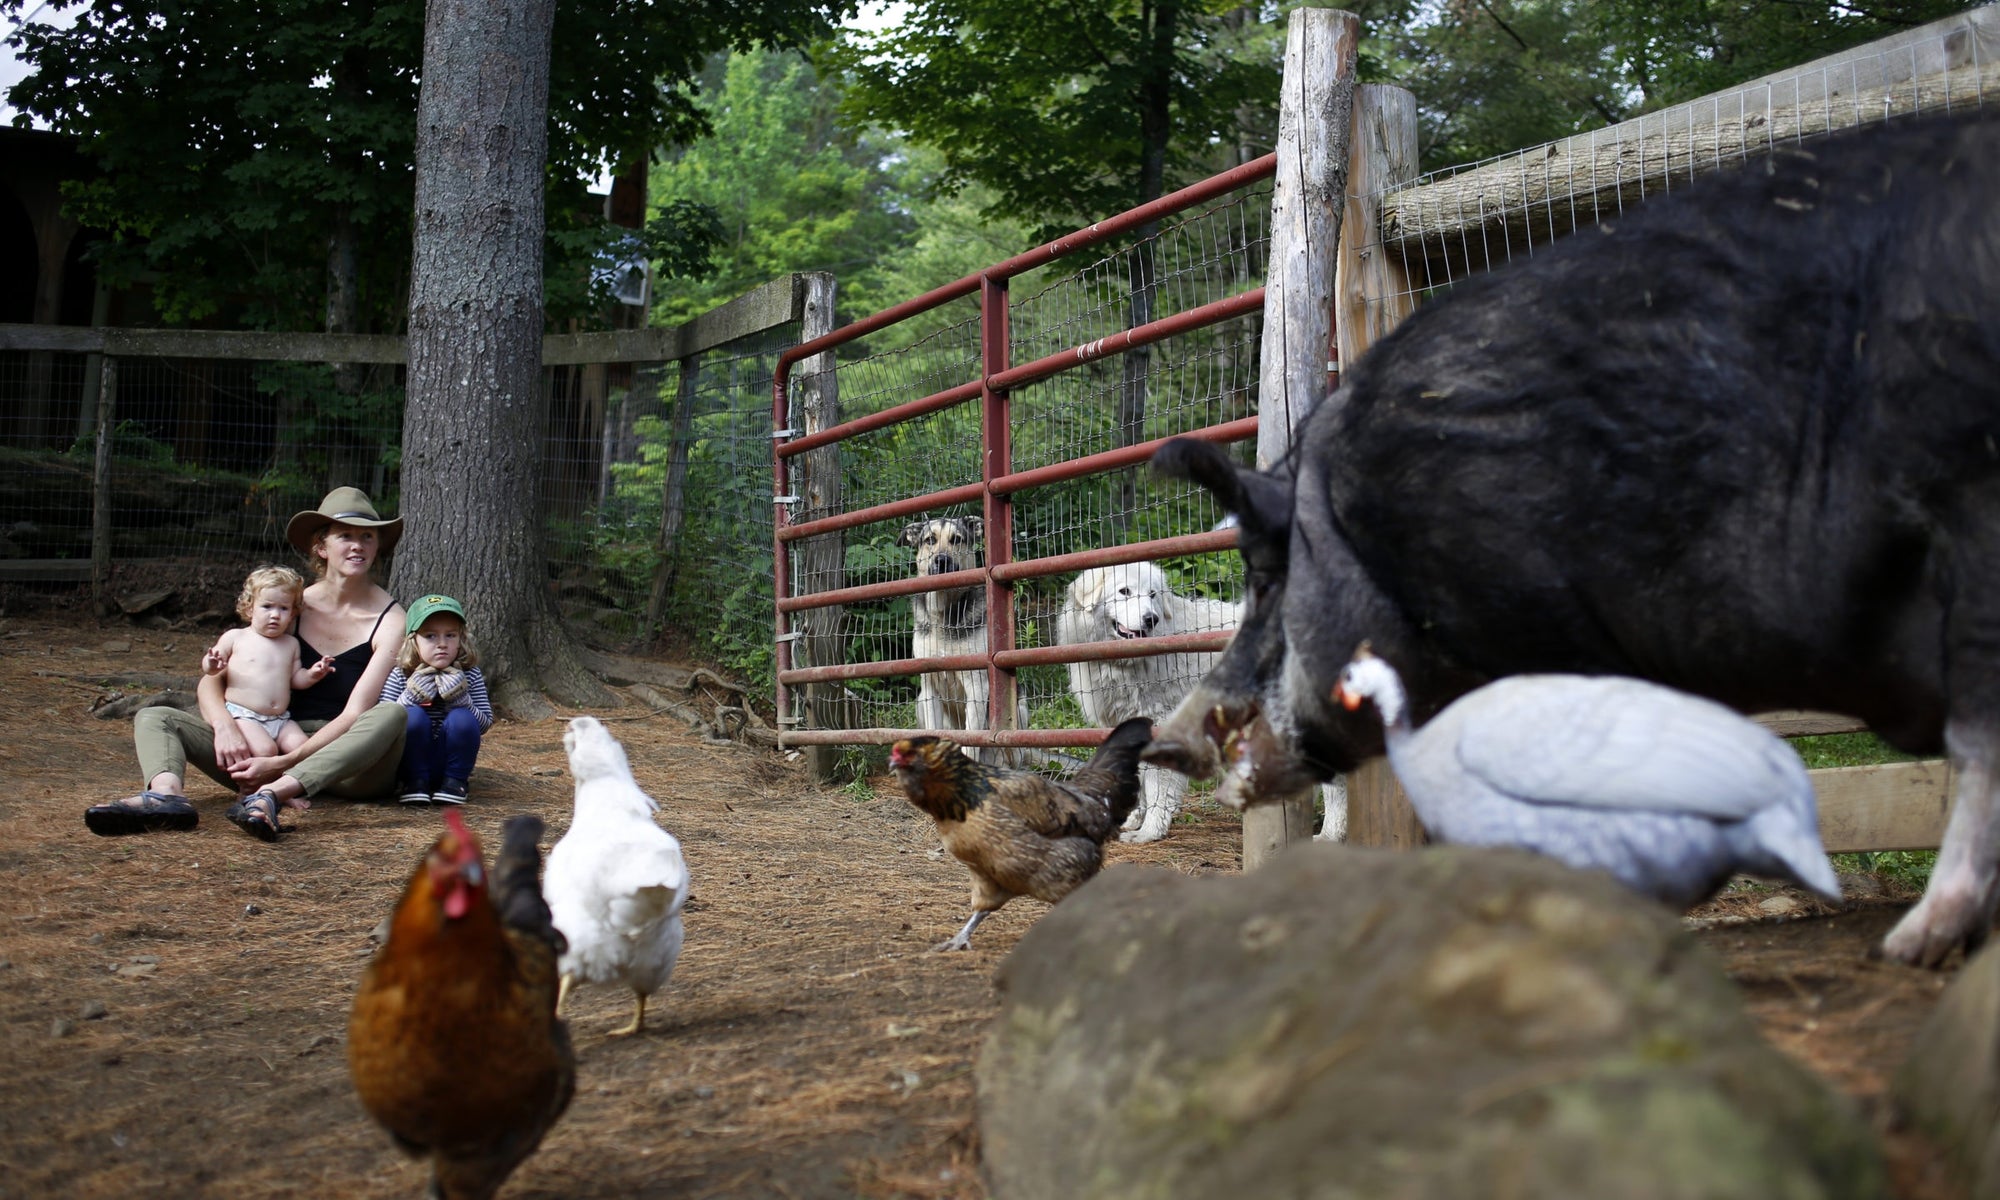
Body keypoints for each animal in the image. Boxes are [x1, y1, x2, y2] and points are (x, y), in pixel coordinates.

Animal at [1056, 564, 1352, 844]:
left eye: (1152, 594)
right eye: (1124, 591)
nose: (1151, 619)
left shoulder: (1161, 722)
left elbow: (1156, 786)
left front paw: (1149, 832)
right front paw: (1133, 820)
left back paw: (1329, 835)